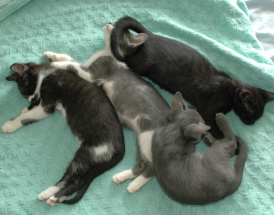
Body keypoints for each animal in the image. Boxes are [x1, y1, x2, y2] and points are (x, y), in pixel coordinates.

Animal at [1, 62, 124, 207]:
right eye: (24, 95)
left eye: (26, 88)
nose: (30, 99)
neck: (46, 74)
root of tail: (121, 147)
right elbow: (29, 111)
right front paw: (27, 108)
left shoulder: (47, 104)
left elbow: (26, 117)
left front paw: (10, 124)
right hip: (94, 157)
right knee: (78, 182)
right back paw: (56, 199)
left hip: (90, 152)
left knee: (68, 177)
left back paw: (48, 194)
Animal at [43, 23, 171, 193]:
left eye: (118, 30)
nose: (110, 23)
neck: (106, 52)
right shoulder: (87, 67)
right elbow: (70, 58)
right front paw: (52, 55)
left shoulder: (92, 73)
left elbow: (72, 64)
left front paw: (56, 64)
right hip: (140, 141)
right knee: (142, 164)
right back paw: (122, 177)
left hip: (147, 137)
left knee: (152, 168)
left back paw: (134, 185)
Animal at [108, 16, 274, 140]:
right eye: (250, 114)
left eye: (257, 116)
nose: (251, 123)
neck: (229, 88)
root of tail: (152, 35)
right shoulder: (208, 112)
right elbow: (216, 128)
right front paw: (231, 142)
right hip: (140, 64)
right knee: (126, 55)